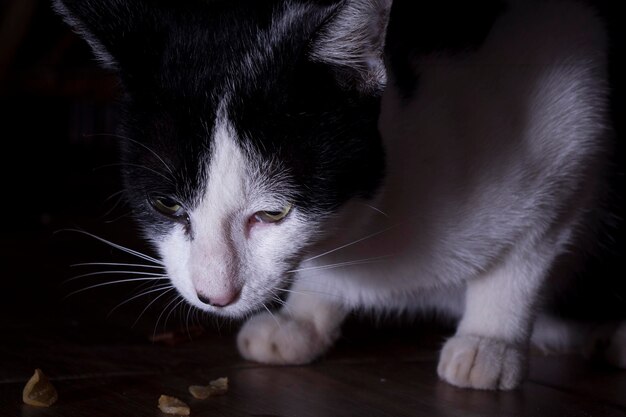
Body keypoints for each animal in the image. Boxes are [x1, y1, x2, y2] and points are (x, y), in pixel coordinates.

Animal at [54, 0, 624, 390]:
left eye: (274, 212)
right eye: (167, 205)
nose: (214, 296)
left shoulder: (569, 107)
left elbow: (524, 253)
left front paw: (490, 339)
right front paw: (303, 317)